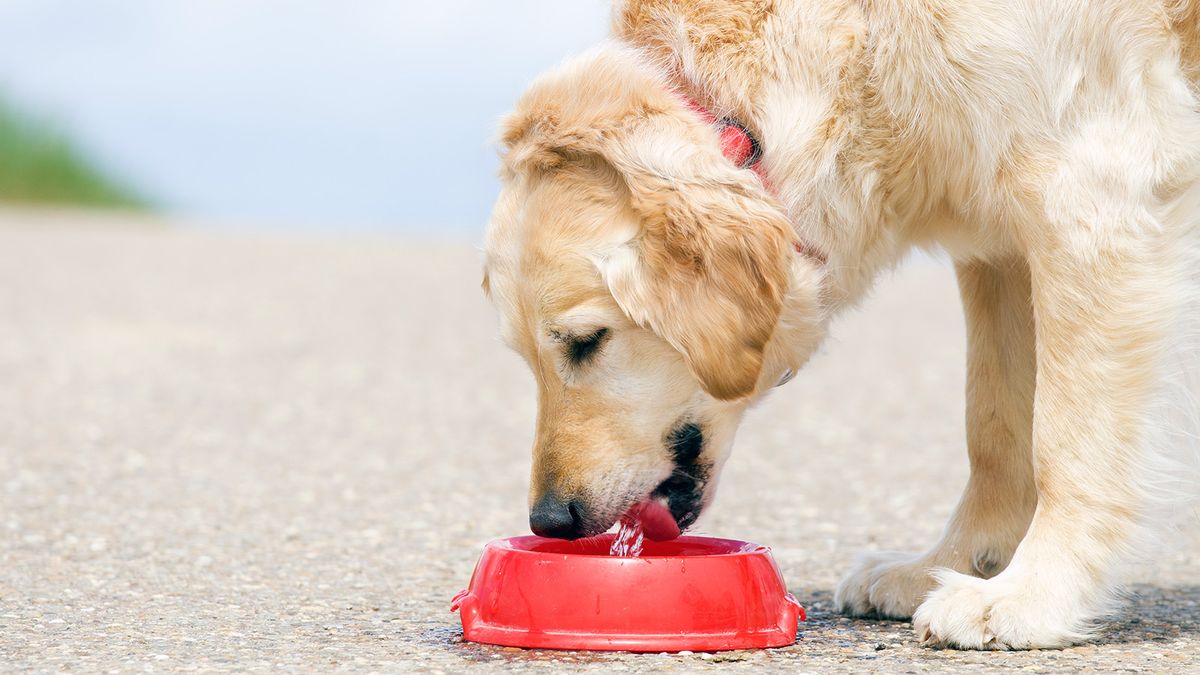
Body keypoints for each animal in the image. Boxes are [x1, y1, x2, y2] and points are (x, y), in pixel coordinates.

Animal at [477, 1, 1200, 653]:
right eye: (524, 356)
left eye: (586, 341)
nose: (550, 520)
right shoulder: (996, 243)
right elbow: (994, 428)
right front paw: (956, 565)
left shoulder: (1086, 196)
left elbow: (1063, 441)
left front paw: (1032, 596)